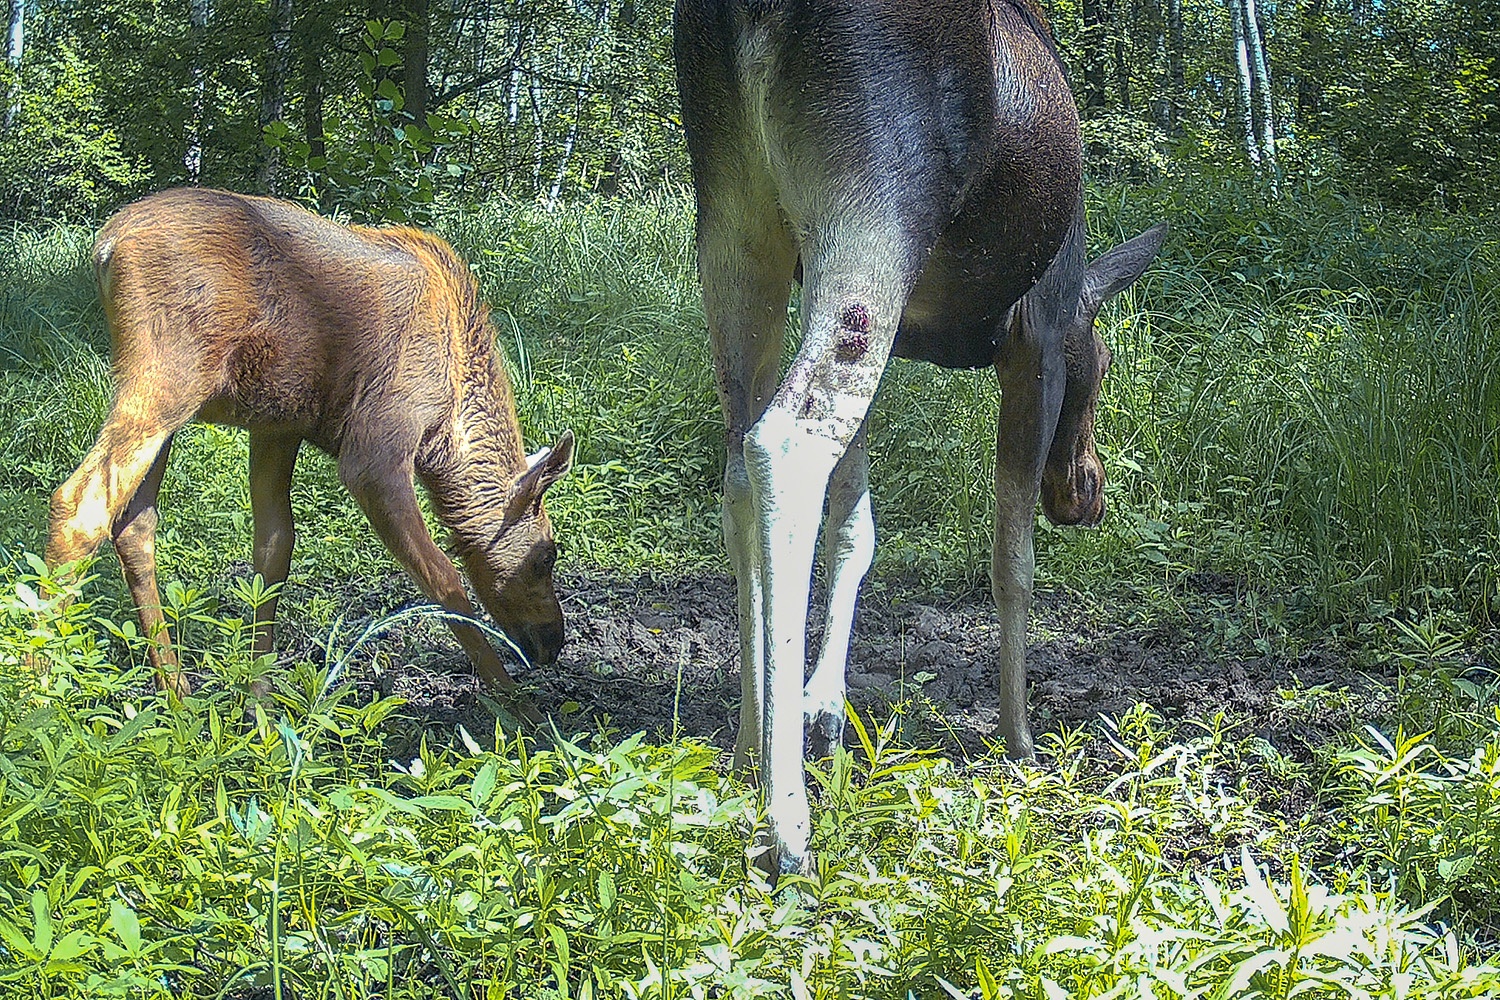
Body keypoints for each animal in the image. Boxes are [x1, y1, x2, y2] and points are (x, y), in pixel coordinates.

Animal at [46, 189, 573, 704]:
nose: (554, 642)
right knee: (80, 506)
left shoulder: (278, 425)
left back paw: (175, 691)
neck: (448, 434)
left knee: (133, 523)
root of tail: (107, 244)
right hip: (168, 375)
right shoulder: (375, 451)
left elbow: (274, 549)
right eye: (547, 554)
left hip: (168, 400)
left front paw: (257, 700)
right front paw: (515, 706)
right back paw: (40, 689)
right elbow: (444, 580)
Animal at [675, 0, 1164, 875]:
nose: (1088, 494)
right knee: (787, 440)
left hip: (737, 217)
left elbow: (857, 524)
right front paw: (1020, 738)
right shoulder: (1035, 339)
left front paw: (823, 700)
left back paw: (744, 749)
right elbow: (1012, 562)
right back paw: (786, 823)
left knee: (738, 466)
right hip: (874, 200)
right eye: (1104, 363)